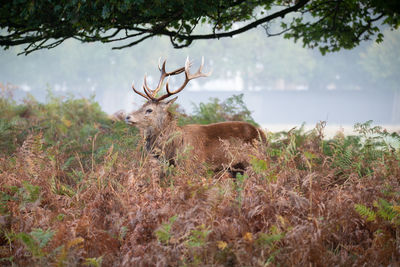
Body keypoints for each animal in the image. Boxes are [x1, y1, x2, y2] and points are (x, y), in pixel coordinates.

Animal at [125, 57, 266, 176]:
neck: (172, 150)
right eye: (142, 106)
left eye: (149, 110)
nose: (127, 117)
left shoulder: (193, 166)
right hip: (235, 169)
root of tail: (263, 135)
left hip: (253, 162)